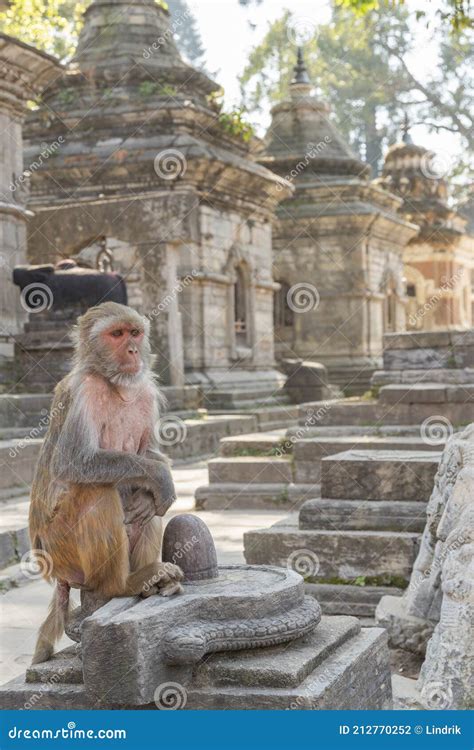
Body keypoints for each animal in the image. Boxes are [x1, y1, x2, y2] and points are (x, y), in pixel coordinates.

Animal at [28, 300, 182, 664]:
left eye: (135, 333)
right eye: (116, 334)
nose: (133, 350)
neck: (116, 386)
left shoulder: (144, 390)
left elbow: (149, 455)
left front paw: (159, 482)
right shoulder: (87, 390)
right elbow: (74, 462)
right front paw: (160, 478)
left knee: (146, 503)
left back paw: (153, 578)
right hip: (62, 550)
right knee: (96, 488)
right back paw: (122, 585)